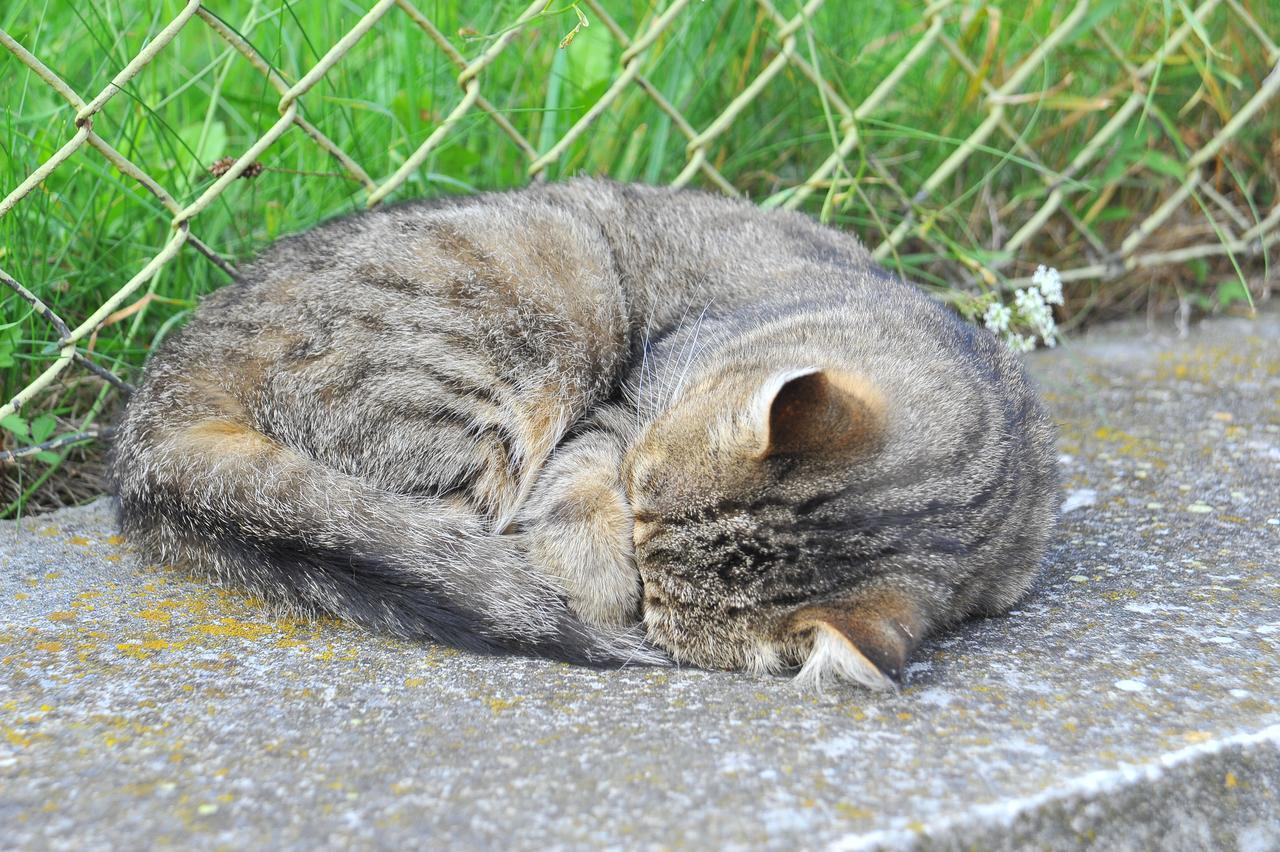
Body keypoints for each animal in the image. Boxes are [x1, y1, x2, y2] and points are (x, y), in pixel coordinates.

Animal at [107, 179, 1059, 690]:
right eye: (639, 487)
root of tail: (174, 373)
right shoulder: (628, 405)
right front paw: (589, 567)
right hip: (550, 304)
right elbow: (579, 482)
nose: (634, 559)